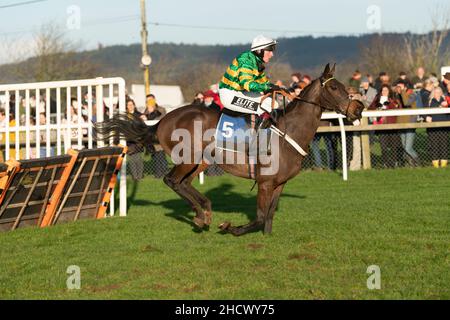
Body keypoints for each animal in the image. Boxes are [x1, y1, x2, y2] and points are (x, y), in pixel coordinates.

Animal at [96, 63, 366, 236]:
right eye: (334, 88)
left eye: (344, 86)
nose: (359, 108)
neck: (289, 131)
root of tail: (162, 121)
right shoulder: (265, 182)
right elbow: (259, 217)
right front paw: (231, 228)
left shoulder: (280, 183)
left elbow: (269, 217)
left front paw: (266, 239)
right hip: (188, 157)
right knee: (172, 180)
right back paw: (202, 214)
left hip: (201, 161)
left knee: (184, 183)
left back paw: (203, 212)